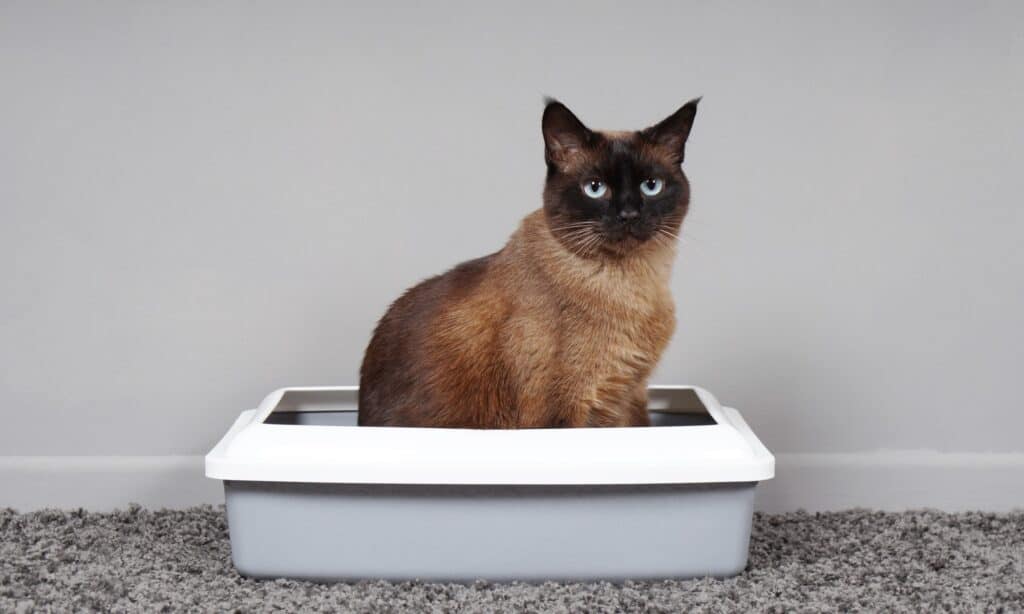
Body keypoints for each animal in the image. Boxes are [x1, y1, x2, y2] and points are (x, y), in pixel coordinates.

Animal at [356, 99, 700, 427]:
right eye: (595, 188)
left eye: (651, 185)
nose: (629, 215)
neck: (631, 284)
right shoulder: (566, 408)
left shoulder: (629, 396)